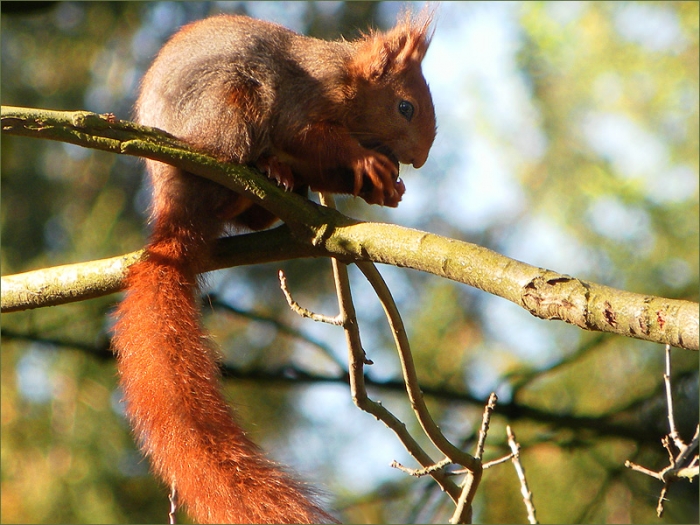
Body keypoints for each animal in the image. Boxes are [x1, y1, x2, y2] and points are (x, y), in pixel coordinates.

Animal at [112, 11, 435, 524]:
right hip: (229, 106)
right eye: (405, 107)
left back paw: (276, 182)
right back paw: (253, 172)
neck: (346, 80)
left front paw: (383, 188)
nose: (420, 158)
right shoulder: (303, 102)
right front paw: (367, 163)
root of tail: (172, 208)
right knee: (229, 160)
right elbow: (310, 137)